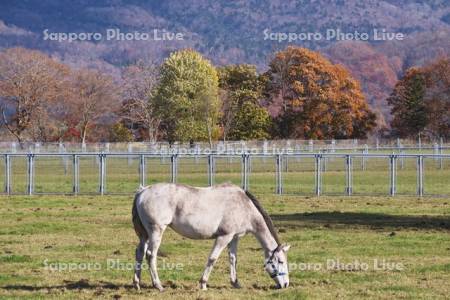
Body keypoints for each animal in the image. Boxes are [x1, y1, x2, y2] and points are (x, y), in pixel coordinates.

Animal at [132, 182, 290, 292]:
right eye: (281, 261)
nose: (286, 284)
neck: (243, 206)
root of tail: (143, 191)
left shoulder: (234, 237)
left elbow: (233, 259)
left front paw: (235, 283)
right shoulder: (224, 236)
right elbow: (212, 259)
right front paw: (203, 284)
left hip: (144, 235)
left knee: (140, 253)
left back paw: (137, 284)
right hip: (156, 231)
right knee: (150, 255)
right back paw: (158, 285)